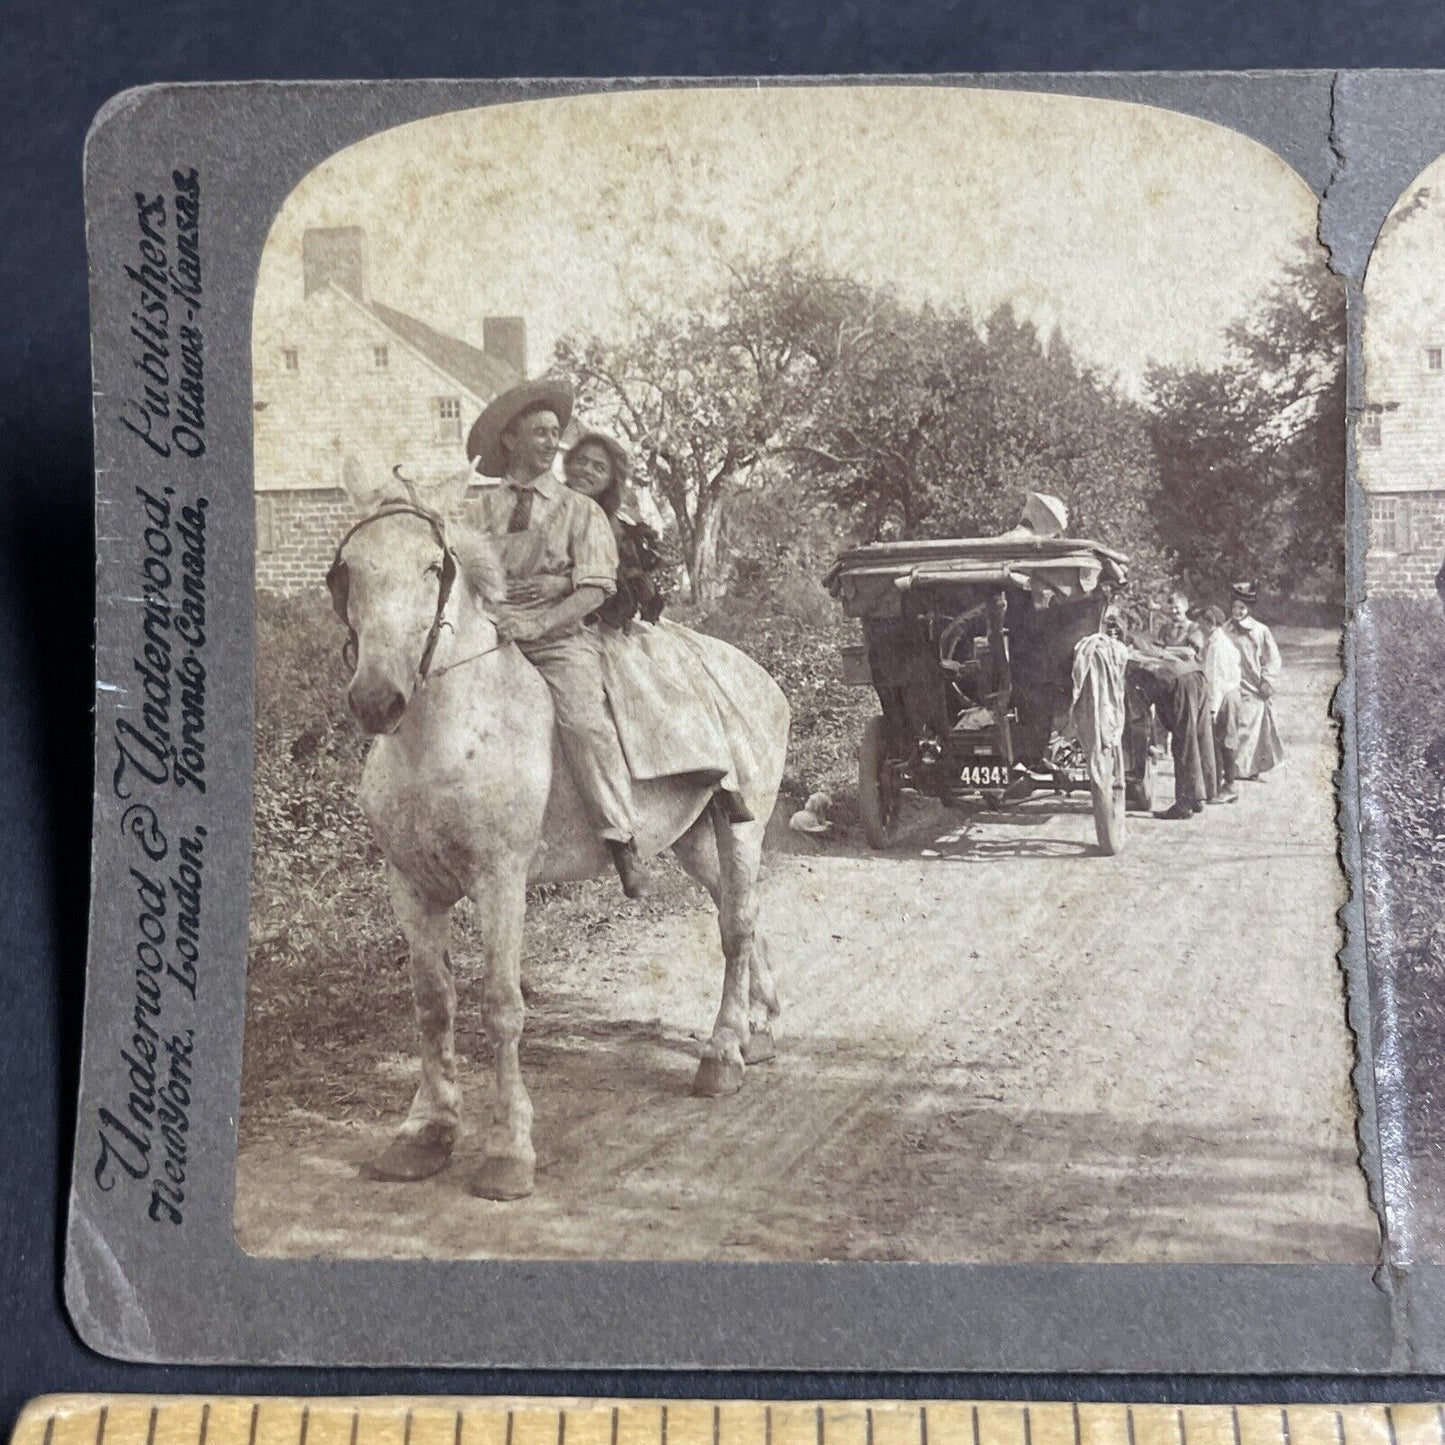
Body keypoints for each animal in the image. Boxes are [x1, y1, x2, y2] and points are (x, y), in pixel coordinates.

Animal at [326, 471, 791, 1196]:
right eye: (349, 569)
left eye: (433, 566)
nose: (376, 700)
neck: (439, 737)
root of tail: (756, 675)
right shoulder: (411, 886)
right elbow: (432, 1004)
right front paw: (424, 1131)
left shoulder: (500, 881)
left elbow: (500, 1005)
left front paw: (508, 1151)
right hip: (692, 838)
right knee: (737, 911)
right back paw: (758, 1030)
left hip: (743, 828)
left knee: (735, 928)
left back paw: (722, 1057)